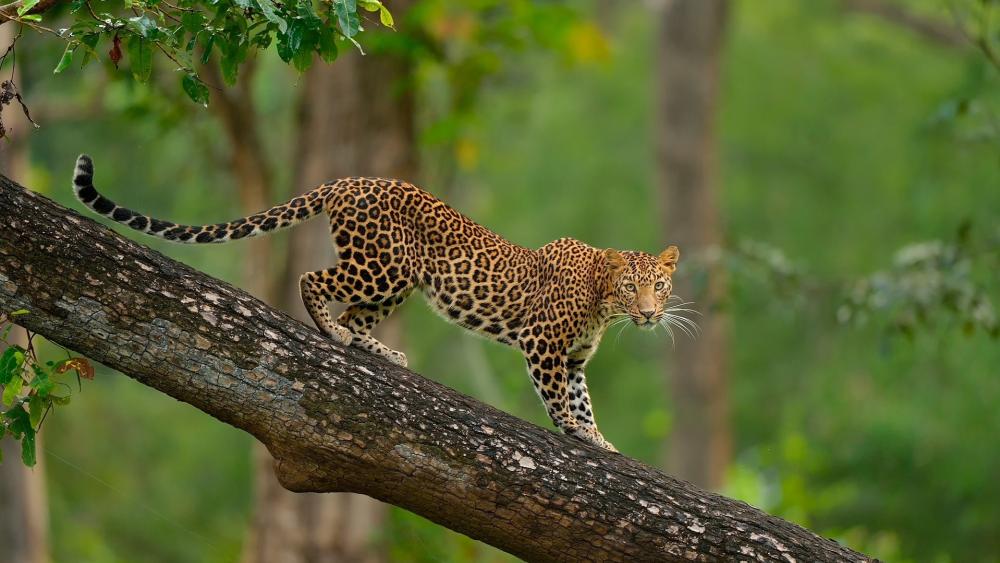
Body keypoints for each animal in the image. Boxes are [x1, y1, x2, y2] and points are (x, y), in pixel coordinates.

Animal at [71, 154, 681, 451]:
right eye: (633, 287)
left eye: (662, 286)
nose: (651, 313)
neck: (603, 302)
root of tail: (347, 181)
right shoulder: (544, 346)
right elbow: (559, 400)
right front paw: (575, 433)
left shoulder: (573, 359)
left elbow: (583, 399)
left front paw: (599, 439)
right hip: (382, 265)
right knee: (313, 280)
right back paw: (331, 332)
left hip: (397, 281)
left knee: (354, 312)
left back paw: (381, 352)